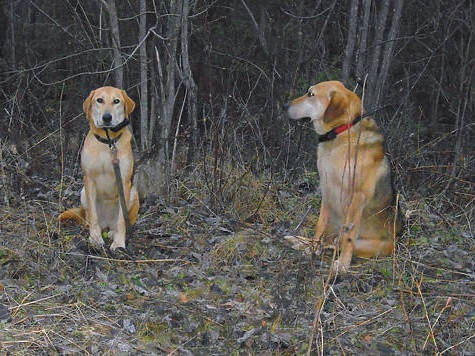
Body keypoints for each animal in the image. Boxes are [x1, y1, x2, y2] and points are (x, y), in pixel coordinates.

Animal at [58, 86, 139, 250]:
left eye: (116, 101)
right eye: (99, 100)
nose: (107, 117)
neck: (107, 142)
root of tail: (106, 223)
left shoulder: (124, 181)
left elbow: (121, 219)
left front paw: (119, 242)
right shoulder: (89, 179)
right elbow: (93, 215)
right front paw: (95, 238)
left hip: (134, 193)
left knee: (121, 221)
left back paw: (113, 232)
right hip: (83, 192)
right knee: (89, 217)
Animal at [286, 80, 402, 272]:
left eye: (311, 94)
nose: (285, 106)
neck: (340, 133)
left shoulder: (357, 197)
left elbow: (348, 235)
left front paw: (342, 265)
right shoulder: (326, 189)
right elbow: (319, 225)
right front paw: (312, 249)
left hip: (367, 244)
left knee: (338, 242)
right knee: (328, 239)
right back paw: (301, 242)